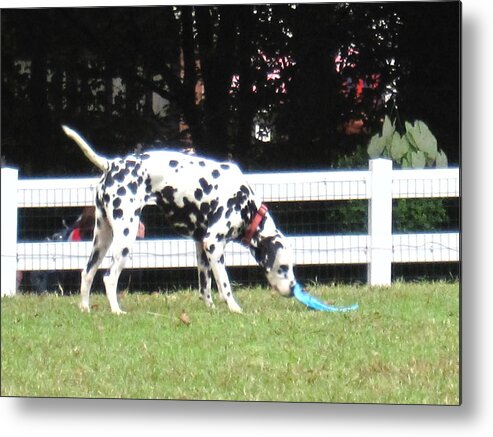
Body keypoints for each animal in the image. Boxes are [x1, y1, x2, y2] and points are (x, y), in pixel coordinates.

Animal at [60, 126, 294, 314]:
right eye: (283, 266)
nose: (293, 289)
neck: (248, 207)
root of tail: (112, 165)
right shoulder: (214, 244)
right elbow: (225, 285)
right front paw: (234, 308)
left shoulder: (202, 247)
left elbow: (205, 286)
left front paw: (210, 308)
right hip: (125, 237)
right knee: (109, 277)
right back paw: (116, 310)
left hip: (102, 239)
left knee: (87, 273)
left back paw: (85, 308)